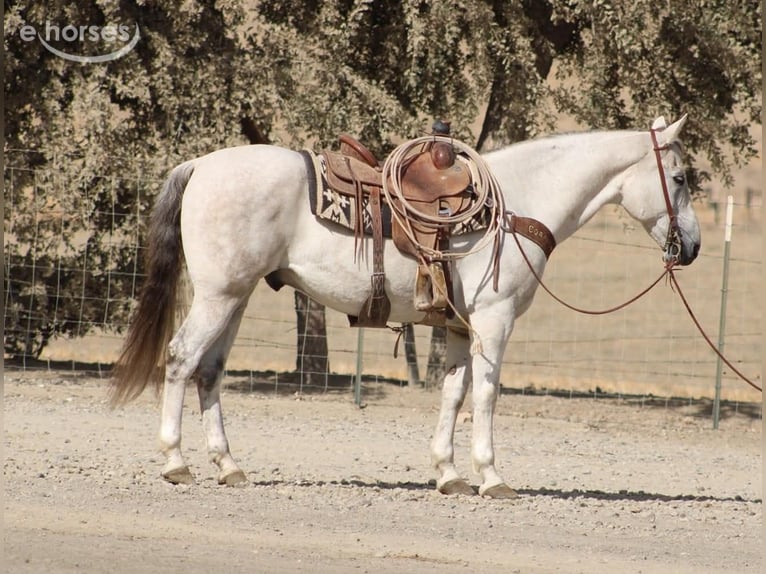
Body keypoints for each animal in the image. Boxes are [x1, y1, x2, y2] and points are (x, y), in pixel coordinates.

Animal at [110, 115, 700, 498]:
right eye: (678, 179)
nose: (691, 246)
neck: (517, 203)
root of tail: (201, 165)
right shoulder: (495, 320)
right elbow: (486, 396)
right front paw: (491, 477)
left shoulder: (461, 328)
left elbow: (453, 393)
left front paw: (449, 474)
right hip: (218, 296)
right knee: (181, 358)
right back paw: (176, 461)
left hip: (236, 296)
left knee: (209, 370)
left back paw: (229, 466)